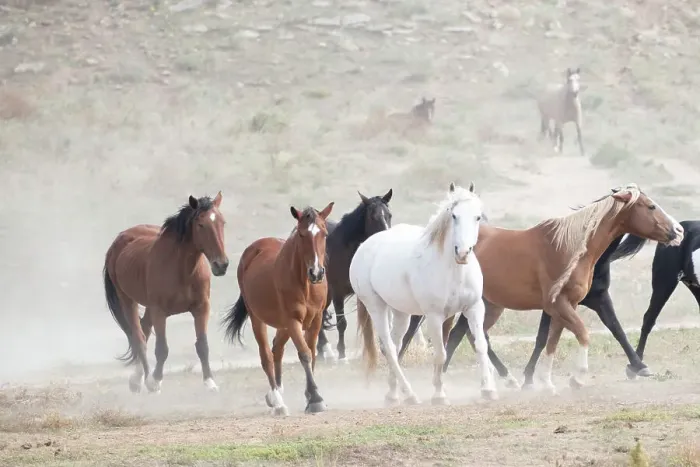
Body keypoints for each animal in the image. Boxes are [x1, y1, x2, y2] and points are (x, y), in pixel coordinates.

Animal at [103, 192, 229, 393]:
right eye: (201, 224)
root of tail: (121, 238)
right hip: (128, 300)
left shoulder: (202, 308)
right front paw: (155, 381)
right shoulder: (159, 311)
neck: (183, 270)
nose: (221, 265)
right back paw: (145, 379)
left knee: (145, 330)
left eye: (222, 222)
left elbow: (202, 345)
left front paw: (210, 382)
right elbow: (162, 349)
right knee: (139, 338)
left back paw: (137, 379)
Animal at [222, 202, 334, 416]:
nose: (316, 273)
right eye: (301, 234)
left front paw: (310, 395)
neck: (305, 284)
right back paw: (277, 401)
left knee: (277, 348)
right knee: (266, 355)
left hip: (284, 325)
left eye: (324, 233)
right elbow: (305, 354)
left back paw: (278, 393)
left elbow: (312, 352)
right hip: (259, 318)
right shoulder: (293, 320)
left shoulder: (315, 320)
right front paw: (316, 399)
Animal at [315, 189, 394, 363]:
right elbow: (342, 323)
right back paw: (326, 350)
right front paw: (342, 354)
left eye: (389, 215)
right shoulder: (337, 293)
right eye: (373, 216)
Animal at [351, 182, 497, 405]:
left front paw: (488, 390)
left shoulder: (473, 309)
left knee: (395, 345)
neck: (454, 272)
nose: (463, 253)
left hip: (401, 313)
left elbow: (481, 346)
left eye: (478, 217)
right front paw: (439, 394)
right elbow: (440, 354)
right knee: (390, 348)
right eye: (453, 215)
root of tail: (364, 246)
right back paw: (409, 394)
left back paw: (393, 393)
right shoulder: (434, 317)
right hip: (376, 307)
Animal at [400, 232, 654, 386]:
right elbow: (542, 338)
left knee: (469, 335)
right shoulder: (554, 305)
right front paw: (529, 377)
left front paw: (638, 365)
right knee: (459, 333)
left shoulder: (600, 299)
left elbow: (616, 329)